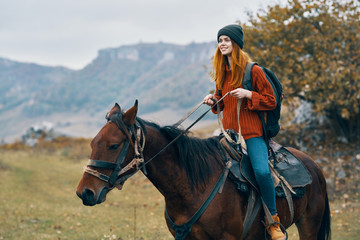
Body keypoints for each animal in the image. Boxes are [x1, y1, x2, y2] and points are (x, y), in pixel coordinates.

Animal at [76, 101, 332, 240]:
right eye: (93, 143)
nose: (85, 192)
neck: (192, 187)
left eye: (113, 145)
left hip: (309, 226)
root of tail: (314, 166)